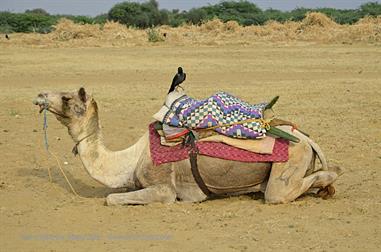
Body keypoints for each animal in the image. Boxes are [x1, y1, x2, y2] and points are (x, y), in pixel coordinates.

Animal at [33, 87, 342, 206]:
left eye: (66, 98)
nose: (40, 96)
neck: (130, 159)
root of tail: (306, 138)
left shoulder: (164, 188)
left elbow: (111, 198)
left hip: (288, 163)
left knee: (284, 190)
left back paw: (328, 186)